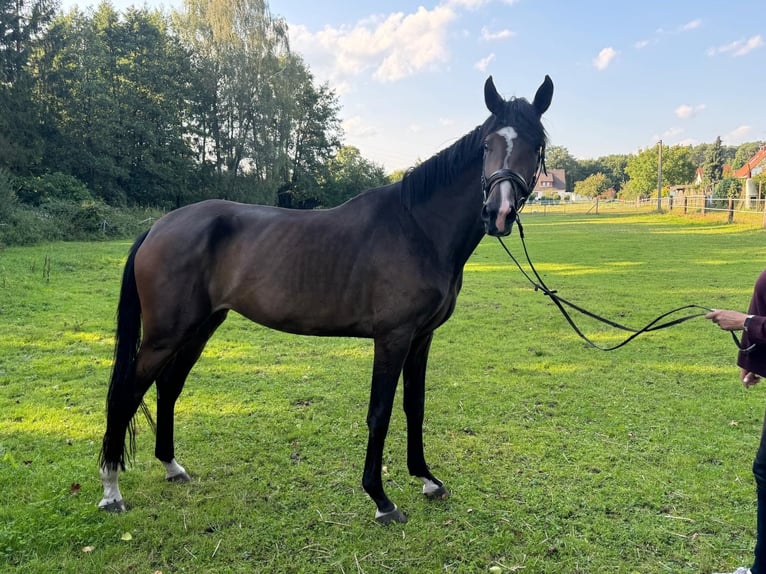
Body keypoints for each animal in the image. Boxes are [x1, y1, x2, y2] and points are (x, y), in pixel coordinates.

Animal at [99, 75, 556, 528]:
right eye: (487, 145)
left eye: (537, 145)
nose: (498, 213)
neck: (418, 228)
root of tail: (158, 227)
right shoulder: (392, 338)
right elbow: (380, 412)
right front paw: (381, 499)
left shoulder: (421, 338)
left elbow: (415, 406)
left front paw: (427, 479)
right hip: (166, 334)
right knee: (126, 393)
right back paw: (111, 490)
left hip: (200, 327)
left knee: (168, 387)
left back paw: (171, 466)